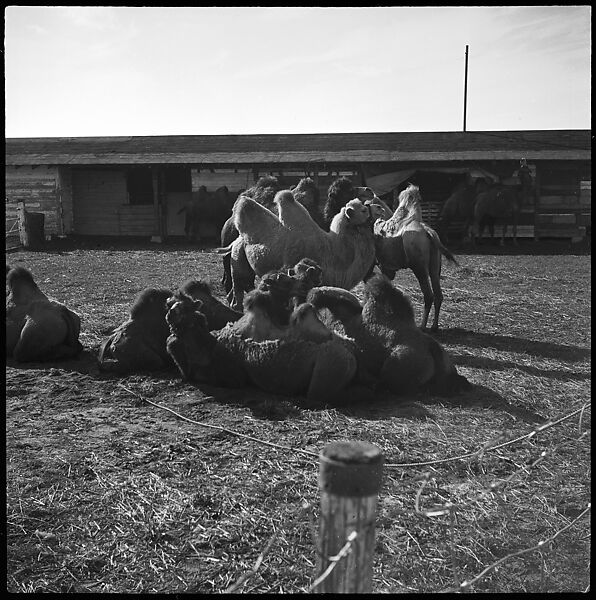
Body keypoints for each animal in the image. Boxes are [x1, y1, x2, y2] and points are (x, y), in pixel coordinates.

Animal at [374, 184, 458, 332]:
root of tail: (429, 232)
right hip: (435, 266)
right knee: (438, 294)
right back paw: (434, 326)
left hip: (418, 267)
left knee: (429, 295)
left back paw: (422, 326)